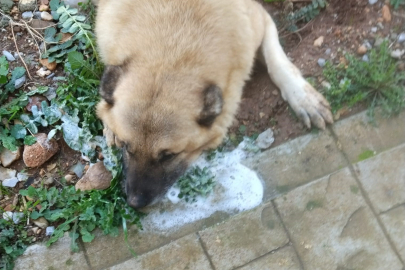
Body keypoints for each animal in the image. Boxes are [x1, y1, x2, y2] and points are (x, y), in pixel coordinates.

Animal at [94, 0, 332, 209]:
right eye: (126, 146)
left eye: (169, 155)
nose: (135, 203)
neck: (174, 43)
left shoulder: (260, 19)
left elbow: (277, 62)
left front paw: (304, 99)